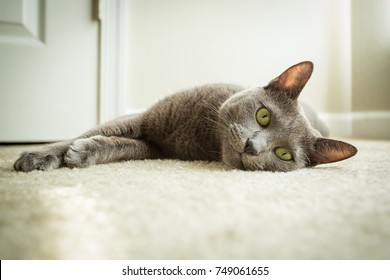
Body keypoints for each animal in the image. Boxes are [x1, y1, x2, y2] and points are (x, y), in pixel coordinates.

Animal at [14, 60, 356, 173]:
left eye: (283, 154)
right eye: (263, 116)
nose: (252, 146)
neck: (203, 134)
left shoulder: (154, 148)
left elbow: (117, 146)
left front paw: (82, 154)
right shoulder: (144, 121)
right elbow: (84, 134)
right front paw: (37, 156)